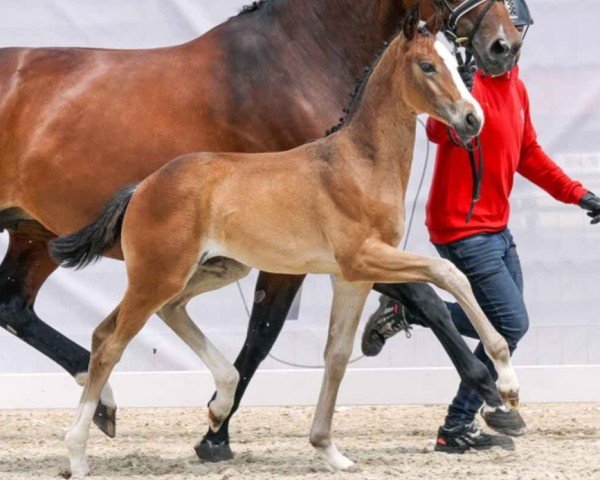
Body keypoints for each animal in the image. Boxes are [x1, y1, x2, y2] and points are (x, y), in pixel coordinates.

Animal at [52, 8, 520, 476]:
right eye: (427, 66)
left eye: (458, 64)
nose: (473, 119)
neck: (360, 163)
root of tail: (143, 186)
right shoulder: (362, 258)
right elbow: (448, 272)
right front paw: (507, 384)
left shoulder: (350, 278)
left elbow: (336, 355)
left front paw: (329, 450)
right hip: (157, 276)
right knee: (111, 344)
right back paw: (78, 454)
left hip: (215, 269)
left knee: (145, 319)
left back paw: (218, 405)